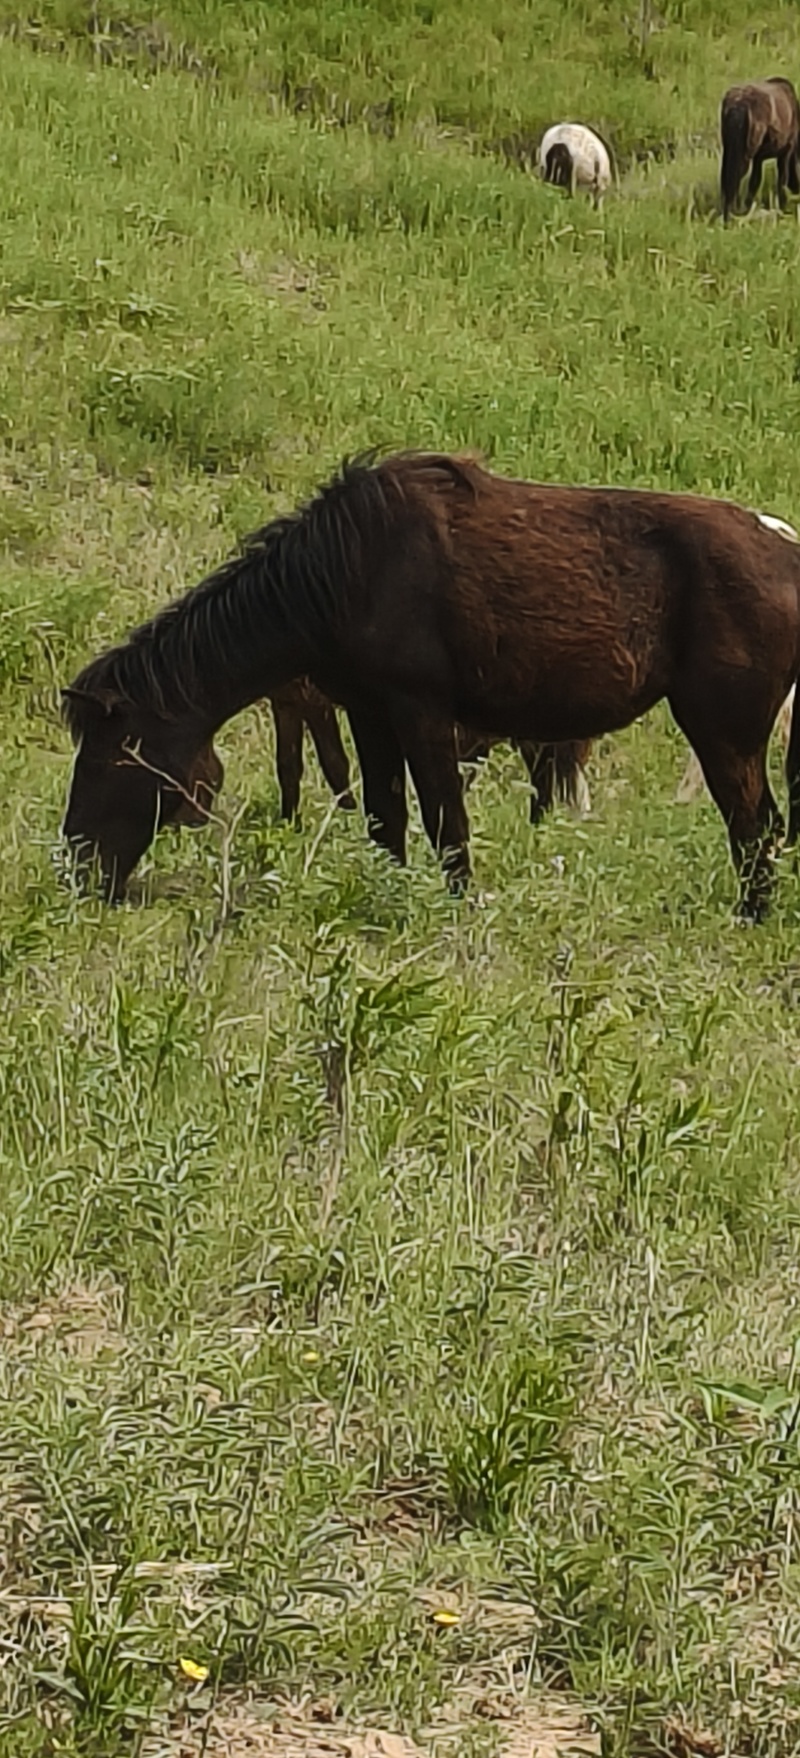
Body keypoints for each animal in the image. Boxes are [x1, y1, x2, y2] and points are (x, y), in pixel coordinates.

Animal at [62, 451, 800, 920]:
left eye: (109, 756)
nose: (76, 868)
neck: (342, 571)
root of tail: (785, 549)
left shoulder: (422, 713)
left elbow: (447, 822)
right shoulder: (369, 714)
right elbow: (385, 818)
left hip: (722, 730)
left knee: (755, 827)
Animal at [720, 78, 800, 221]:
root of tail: (736, 108)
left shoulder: (759, 158)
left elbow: (754, 183)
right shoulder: (786, 150)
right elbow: (782, 182)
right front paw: (783, 209)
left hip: (729, 149)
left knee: (726, 179)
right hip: (744, 154)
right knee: (734, 179)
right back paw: (731, 217)